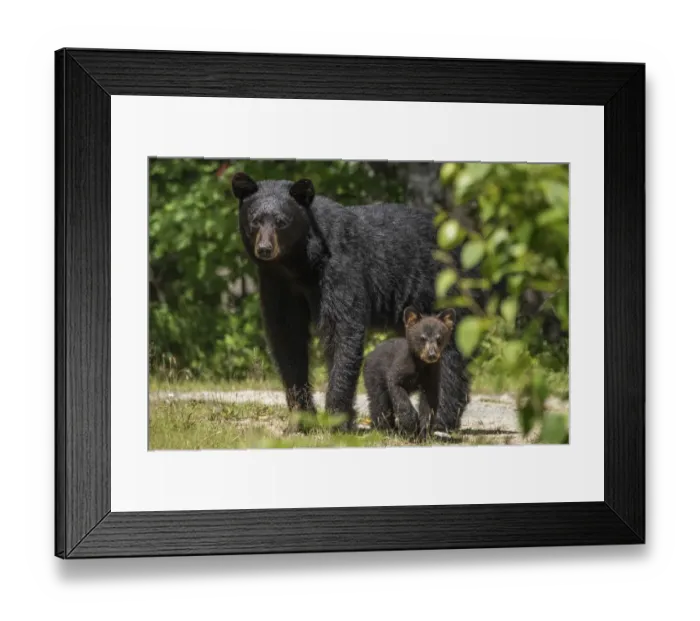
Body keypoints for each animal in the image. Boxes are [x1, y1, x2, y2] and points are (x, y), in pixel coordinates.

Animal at [363, 306, 456, 440]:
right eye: (422, 338)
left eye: (439, 339)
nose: (431, 355)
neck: (421, 366)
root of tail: (371, 352)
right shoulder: (399, 368)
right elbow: (398, 393)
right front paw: (411, 423)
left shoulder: (432, 377)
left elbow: (429, 404)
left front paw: (423, 432)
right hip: (374, 376)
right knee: (379, 401)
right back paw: (385, 430)